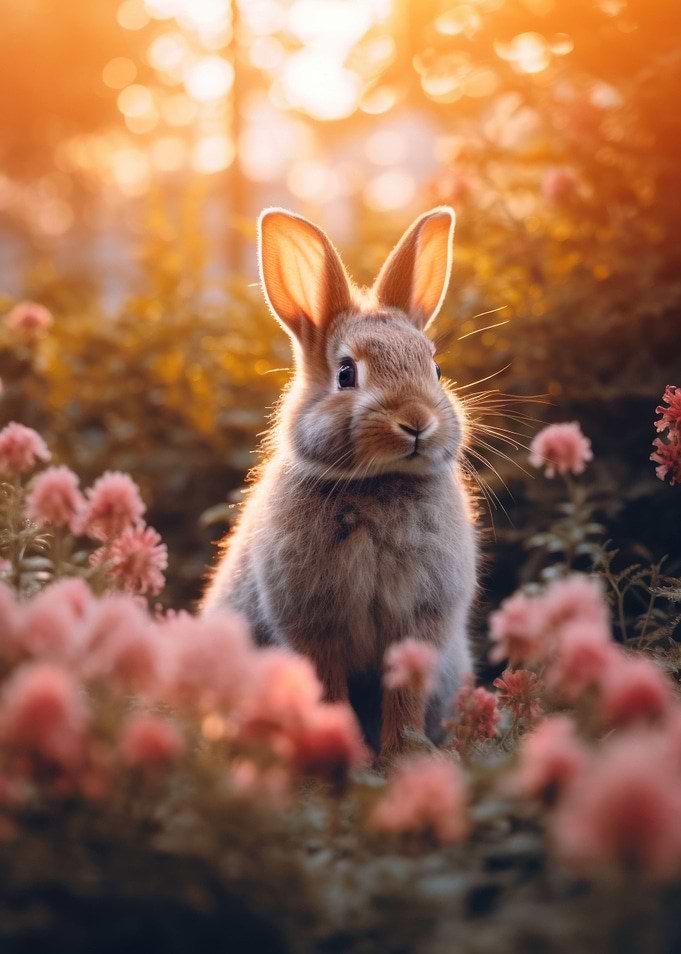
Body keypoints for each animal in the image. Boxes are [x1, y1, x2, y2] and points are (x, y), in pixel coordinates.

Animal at [202, 206, 477, 757]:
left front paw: (403, 755)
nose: (416, 422)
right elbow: (327, 686)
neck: (376, 483)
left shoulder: (421, 620)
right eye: (347, 373)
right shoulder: (312, 626)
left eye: (436, 369)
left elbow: (405, 693)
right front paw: (343, 748)